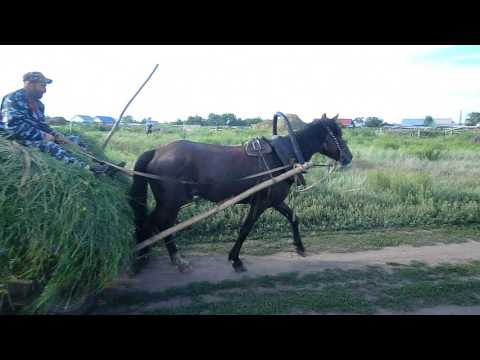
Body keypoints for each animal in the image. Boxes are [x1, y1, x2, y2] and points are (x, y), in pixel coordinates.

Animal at [130, 114, 352, 272]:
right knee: (155, 224)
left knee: (161, 225)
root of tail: (157, 151)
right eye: (337, 135)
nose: (348, 157)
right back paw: (145, 257)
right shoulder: (261, 203)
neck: (282, 156)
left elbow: (293, 218)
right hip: (170, 203)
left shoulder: (274, 200)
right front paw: (235, 259)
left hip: (170, 204)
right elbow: (246, 228)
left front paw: (300, 247)